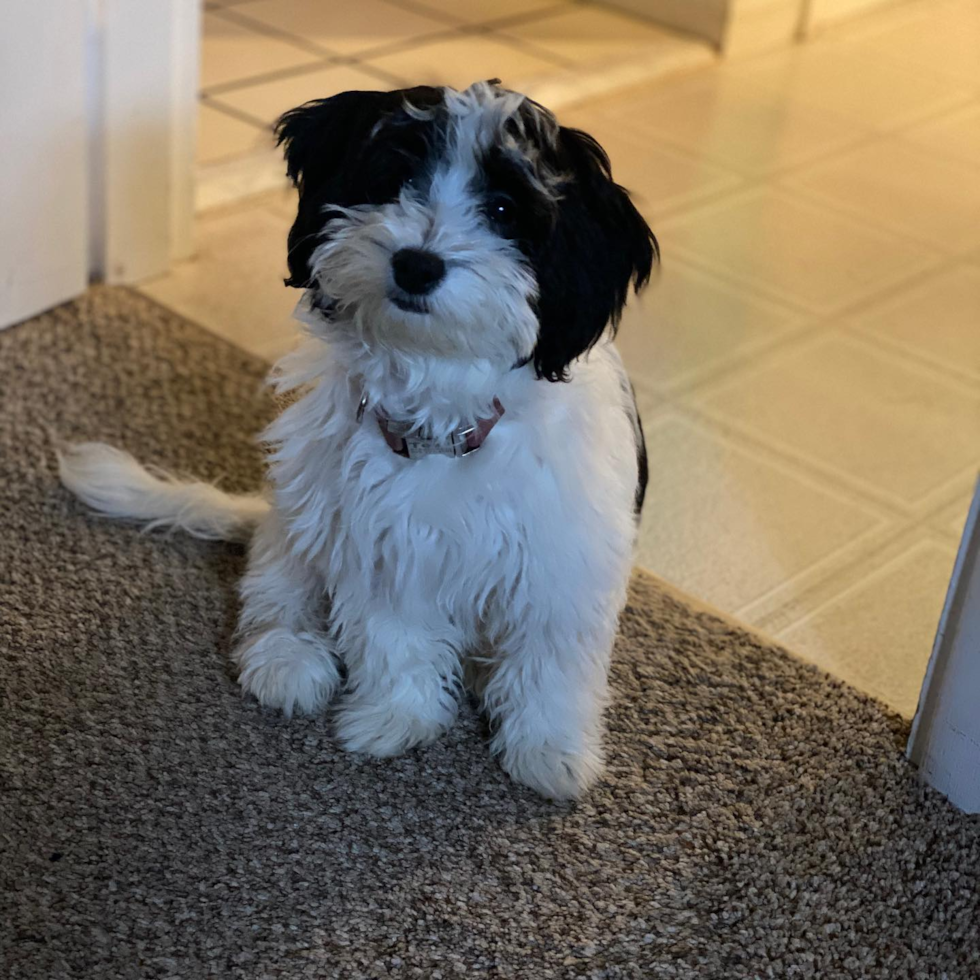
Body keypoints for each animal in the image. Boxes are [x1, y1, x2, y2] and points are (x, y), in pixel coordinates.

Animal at [59, 80, 660, 800]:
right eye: (395, 177)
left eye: (504, 208)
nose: (417, 264)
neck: (443, 419)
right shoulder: (383, 543)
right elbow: (395, 640)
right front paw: (396, 719)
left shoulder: (561, 562)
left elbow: (550, 665)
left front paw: (550, 752)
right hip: (300, 502)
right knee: (274, 592)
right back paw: (287, 660)